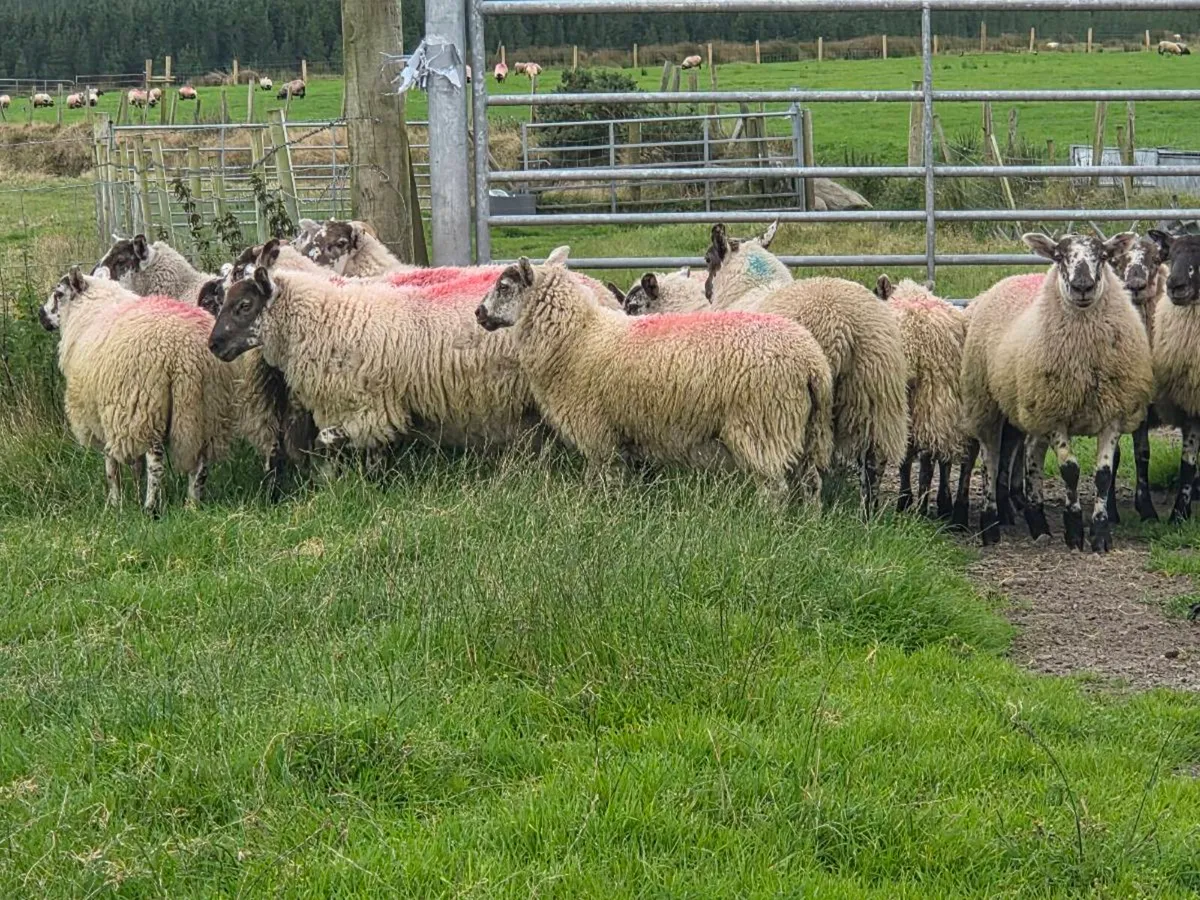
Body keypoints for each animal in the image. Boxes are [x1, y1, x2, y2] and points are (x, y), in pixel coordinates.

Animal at [38, 268, 234, 513]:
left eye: (58, 294)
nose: (41, 315)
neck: (88, 310)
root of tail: (183, 351)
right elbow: (135, 465)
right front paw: (133, 491)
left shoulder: (108, 415)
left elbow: (111, 464)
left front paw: (115, 502)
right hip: (203, 407)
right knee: (200, 465)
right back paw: (192, 505)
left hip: (146, 405)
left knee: (156, 464)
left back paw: (150, 508)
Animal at [474, 258, 834, 500]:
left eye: (504, 287)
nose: (478, 313)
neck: (577, 338)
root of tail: (811, 363)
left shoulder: (597, 431)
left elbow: (603, 478)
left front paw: (601, 507)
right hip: (806, 427)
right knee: (811, 481)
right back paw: (808, 524)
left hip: (763, 423)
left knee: (775, 487)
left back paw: (767, 524)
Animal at [703, 223, 909, 510]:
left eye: (707, 259)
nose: (706, 289)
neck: (749, 288)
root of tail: (841, 327)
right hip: (875, 393)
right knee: (873, 461)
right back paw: (867, 512)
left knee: (811, 472)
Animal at [960, 232, 1153, 552]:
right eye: (1060, 256)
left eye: (1103, 256)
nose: (1082, 286)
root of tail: (1015, 278)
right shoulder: (1055, 415)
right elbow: (1070, 471)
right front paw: (1074, 530)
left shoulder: (1111, 414)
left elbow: (1103, 476)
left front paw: (1100, 534)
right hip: (986, 401)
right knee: (991, 459)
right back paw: (990, 527)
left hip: (1030, 405)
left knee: (1031, 453)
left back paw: (1038, 523)